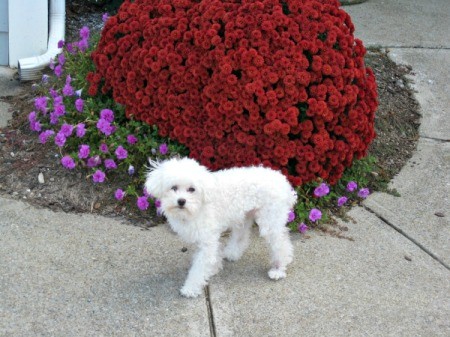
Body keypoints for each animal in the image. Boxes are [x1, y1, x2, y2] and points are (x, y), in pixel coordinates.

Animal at [146, 158, 298, 296]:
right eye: (174, 187)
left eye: (192, 189)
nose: (181, 201)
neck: (198, 206)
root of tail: (284, 183)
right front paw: (214, 268)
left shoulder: (207, 241)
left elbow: (199, 267)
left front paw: (191, 288)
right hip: (243, 216)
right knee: (241, 236)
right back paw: (232, 253)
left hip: (270, 221)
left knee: (281, 245)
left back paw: (279, 269)